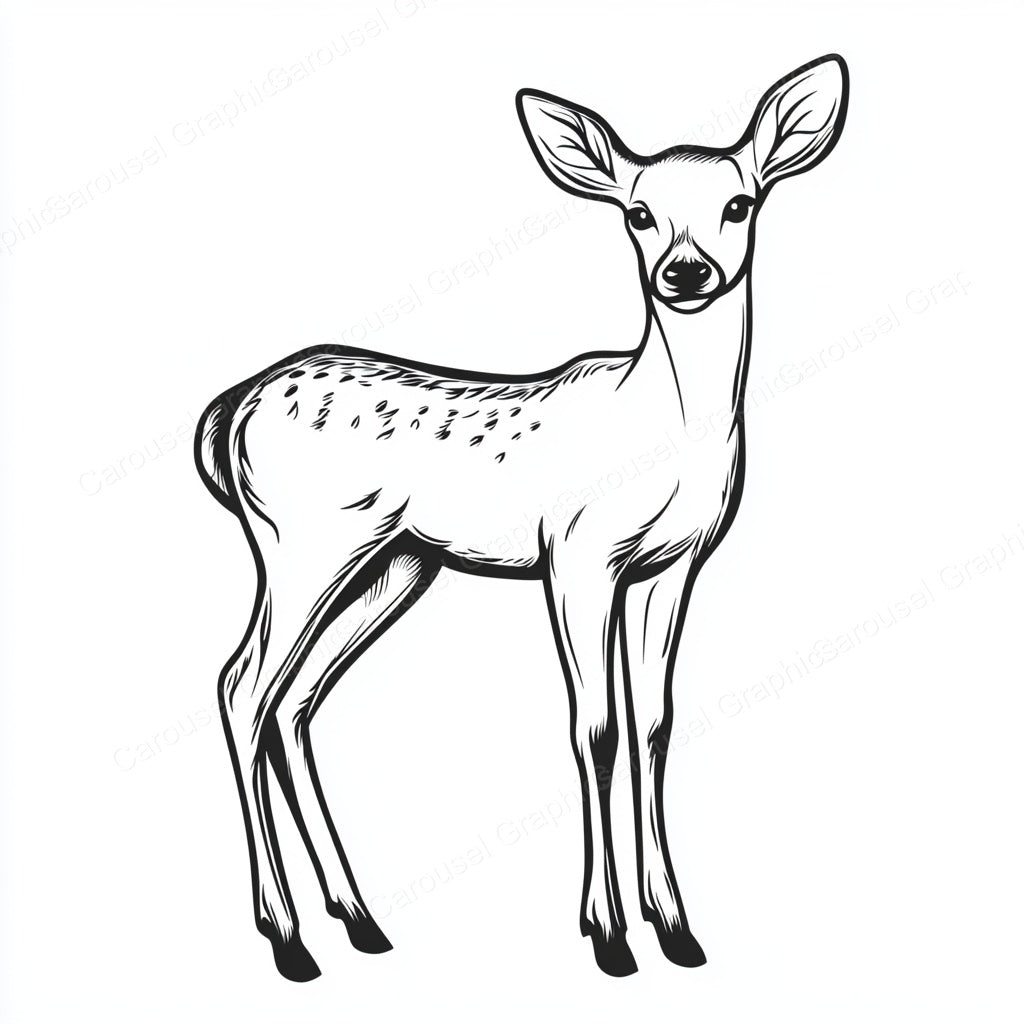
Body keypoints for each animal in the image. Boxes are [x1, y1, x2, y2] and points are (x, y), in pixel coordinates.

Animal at [195, 54, 849, 981]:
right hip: (302, 544)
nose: (685, 272)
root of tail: (228, 413)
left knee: (294, 700)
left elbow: (655, 721)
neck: (668, 433)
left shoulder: (674, 565)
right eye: (638, 213)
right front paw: (608, 933)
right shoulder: (576, 554)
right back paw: (287, 939)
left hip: (393, 564)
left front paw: (676, 928)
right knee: (241, 684)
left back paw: (358, 919)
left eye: (739, 203)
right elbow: (596, 727)